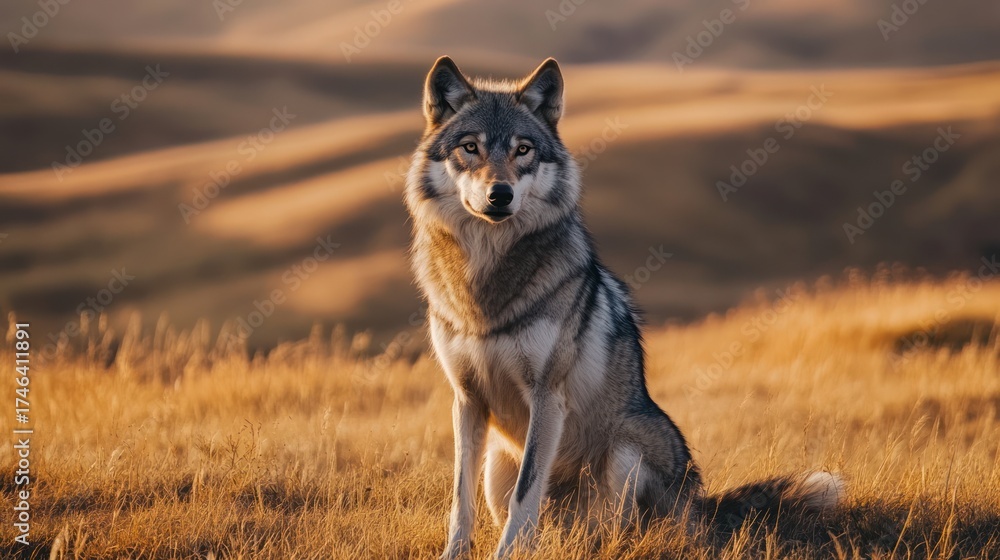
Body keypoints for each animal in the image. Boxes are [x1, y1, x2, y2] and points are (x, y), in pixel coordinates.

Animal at [404, 56, 844, 559]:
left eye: (523, 150)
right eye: (470, 147)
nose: (500, 194)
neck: (484, 279)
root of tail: (700, 505)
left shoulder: (547, 396)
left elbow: (525, 496)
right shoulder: (467, 400)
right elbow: (461, 500)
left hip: (626, 446)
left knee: (620, 530)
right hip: (500, 460)